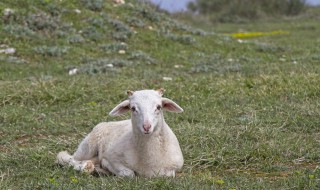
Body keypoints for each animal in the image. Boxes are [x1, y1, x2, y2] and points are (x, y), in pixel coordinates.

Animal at [56, 88, 184, 177]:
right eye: (133, 108)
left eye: (158, 107)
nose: (147, 127)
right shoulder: (112, 157)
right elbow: (129, 174)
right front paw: (106, 167)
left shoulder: (174, 167)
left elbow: (168, 174)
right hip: (88, 146)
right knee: (67, 158)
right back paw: (85, 167)